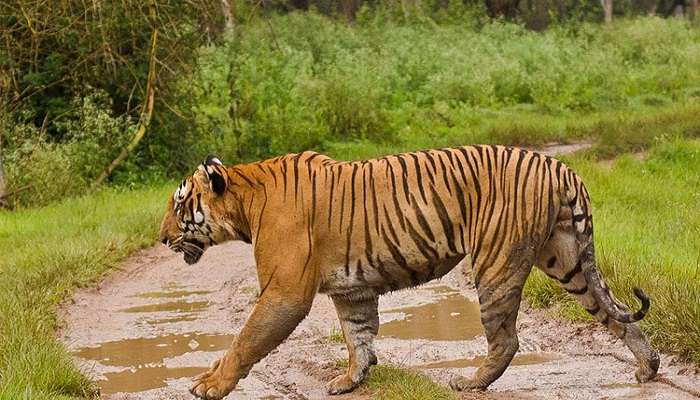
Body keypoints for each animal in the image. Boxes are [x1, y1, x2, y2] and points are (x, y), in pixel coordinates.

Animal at [160, 147, 660, 400]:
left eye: (180, 205)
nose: (162, 238)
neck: (244, 200)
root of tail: (558, 165)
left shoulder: (284, 291)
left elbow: (245, 340)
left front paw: (209, 385)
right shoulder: (352, 290)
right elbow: (358, 336)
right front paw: (351, 380)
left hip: (496, 263)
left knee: (506, 338)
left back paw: (471, 382)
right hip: (567, 258)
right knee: (615, 313)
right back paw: (648, 367)